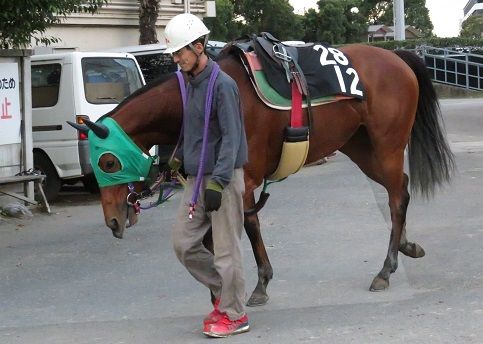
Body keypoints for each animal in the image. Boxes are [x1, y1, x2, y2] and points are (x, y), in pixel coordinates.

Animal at [71, 42, 454, 306]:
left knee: (397, 197)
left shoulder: (241, 179)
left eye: (108, 162)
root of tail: (396, 57)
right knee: (399, 189)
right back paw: (406, 245)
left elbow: (248, 227)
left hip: (387, 145)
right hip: (360, 147)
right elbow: (209, 237)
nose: (113, 221)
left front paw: (258, 285)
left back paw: (386, 269)